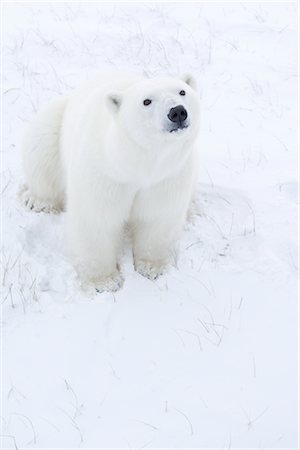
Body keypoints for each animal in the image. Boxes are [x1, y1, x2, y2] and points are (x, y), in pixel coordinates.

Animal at [20, 73, 199, 292]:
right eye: (146, 101)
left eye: (182, 91)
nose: (177, 112)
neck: (136, 163)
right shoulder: (104, 172)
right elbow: (97, 219)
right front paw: (105, 282)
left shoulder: (166, 176)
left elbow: (157, 216)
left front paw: (152, 267)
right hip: (56, 120)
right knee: (41, 144)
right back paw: (38, 201)